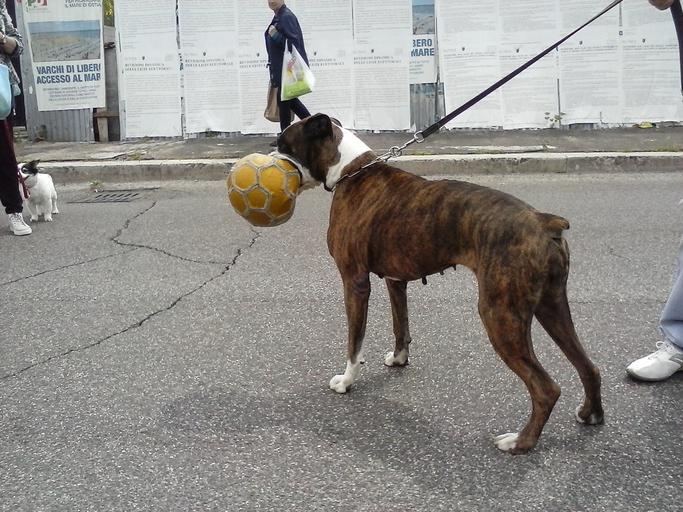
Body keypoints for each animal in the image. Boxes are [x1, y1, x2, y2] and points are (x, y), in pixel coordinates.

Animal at [275, 113, 604, 455]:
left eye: (283, 144)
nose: (272, 157)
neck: (350, 169)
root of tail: (544, 221)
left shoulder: (354, 282)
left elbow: (355, 340)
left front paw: (346, 380)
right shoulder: (396, 281)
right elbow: (401, 325)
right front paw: (399, 359)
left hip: (500, 314)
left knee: (545, 388)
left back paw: (519, 442)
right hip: (552, 306)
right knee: (588, 367)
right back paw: (590, 414)